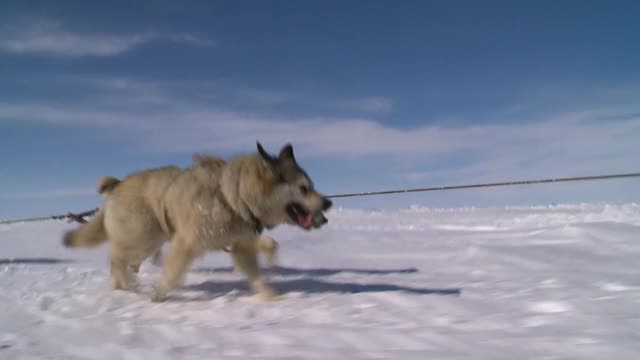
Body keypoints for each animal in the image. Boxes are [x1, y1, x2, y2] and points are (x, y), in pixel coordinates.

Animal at [62, 143, 332, 300]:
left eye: (311, 186)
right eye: (304, 188)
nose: (328, 203)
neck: (233, 197)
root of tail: (116, 185)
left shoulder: (242, 248)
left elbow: (257, 275)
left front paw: (271, 297)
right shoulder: (186, 243)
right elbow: (171, 272)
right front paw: (159, 294)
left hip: (149, 243)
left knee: (124, 261)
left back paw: (121, 285)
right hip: (142, 238)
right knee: (115, 257)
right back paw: (127, 283)